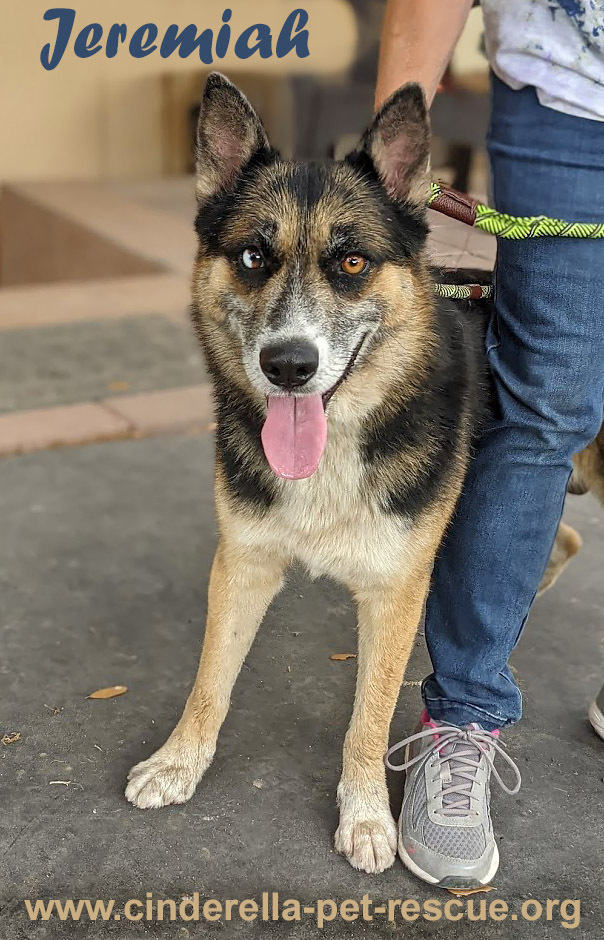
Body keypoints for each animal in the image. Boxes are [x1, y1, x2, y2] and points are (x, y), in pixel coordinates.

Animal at [125, 73, 604, 872]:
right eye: (252, 257)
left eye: (351, 264)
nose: (288, 365)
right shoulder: (243, 564)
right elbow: (210, 680)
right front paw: (178, 761)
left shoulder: (393, 594)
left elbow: (369, 719)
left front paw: (368, 815)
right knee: (561, 539)